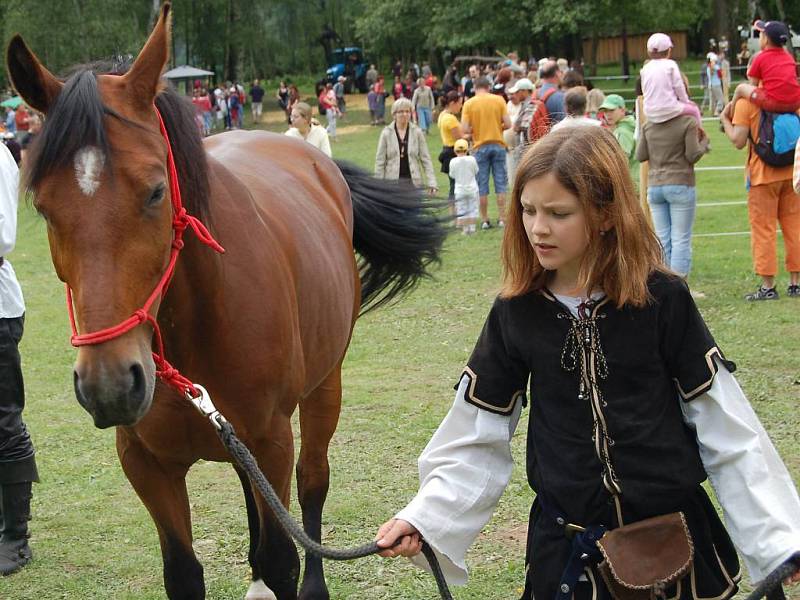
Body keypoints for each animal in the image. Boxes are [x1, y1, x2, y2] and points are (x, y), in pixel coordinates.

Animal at [4, 2, 444, 596]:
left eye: (156, 191)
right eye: (45, 208)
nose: (110, 384)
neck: (195, 324)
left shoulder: (271, 441)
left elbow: (283, 555)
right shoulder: (146, 463)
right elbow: (184, 572)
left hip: (324, 388)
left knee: (312, 482)